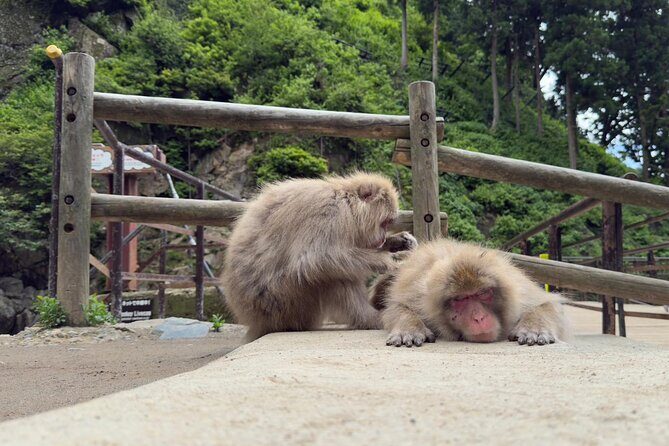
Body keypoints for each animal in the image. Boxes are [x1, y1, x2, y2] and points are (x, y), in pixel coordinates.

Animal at [222, 172, 417, 341]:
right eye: (384, 223)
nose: (383, 237)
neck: (346, 203)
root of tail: (254, 320)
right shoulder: (329, 213)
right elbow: (313, 259)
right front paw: (387, 262)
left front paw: (398, 241)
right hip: (283, 303)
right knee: (327, 275)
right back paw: (370, 318)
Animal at [374, 238, 570, 347]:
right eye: (460, 299)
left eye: (482, 293)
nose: (479, 318)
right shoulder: (418, 296)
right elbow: (396, 307)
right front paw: (409, 329)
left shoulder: (521, 293)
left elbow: (548, 304)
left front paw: (534, 329)